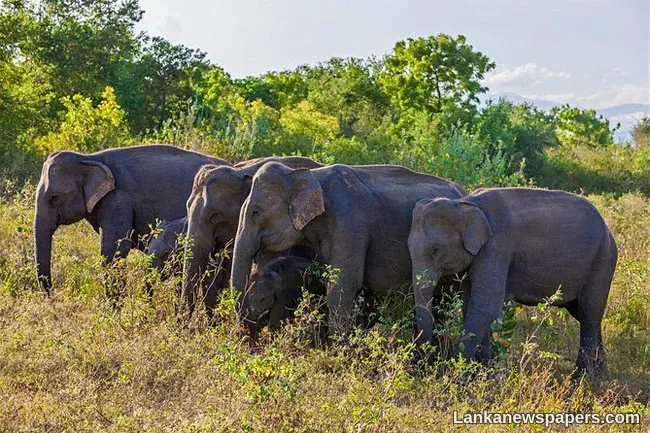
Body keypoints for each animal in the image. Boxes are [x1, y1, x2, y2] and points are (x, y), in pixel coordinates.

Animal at [407, 188, 618, 376]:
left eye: (435, 250)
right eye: (408, 247)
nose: (423, 368)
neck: (466, 203)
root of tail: (608, 231)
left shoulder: (497, 246)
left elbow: (485, 306)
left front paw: (457, 375)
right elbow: (470, 305)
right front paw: (482, 372)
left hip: (603, 261)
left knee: (589, 312)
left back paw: (581, 379)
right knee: (584, 314)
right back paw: (601, 375)